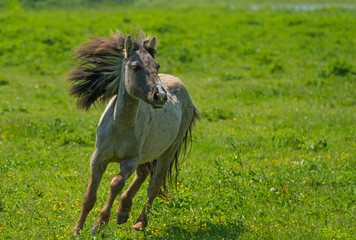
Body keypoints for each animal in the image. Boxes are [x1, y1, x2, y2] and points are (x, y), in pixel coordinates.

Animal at [67, 31, 200, 235]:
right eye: (135, 66)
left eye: (156, 66)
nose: (160, 96)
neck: (120, 126)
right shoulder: (98, 158)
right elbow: (90, 195)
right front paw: (78, 229)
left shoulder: (130, 160)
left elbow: (116, 183)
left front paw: (100, 223)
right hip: (147, 154)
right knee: (144, 173)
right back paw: (124, 211)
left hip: (168, 151)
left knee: (154, 185)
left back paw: (138, 222)